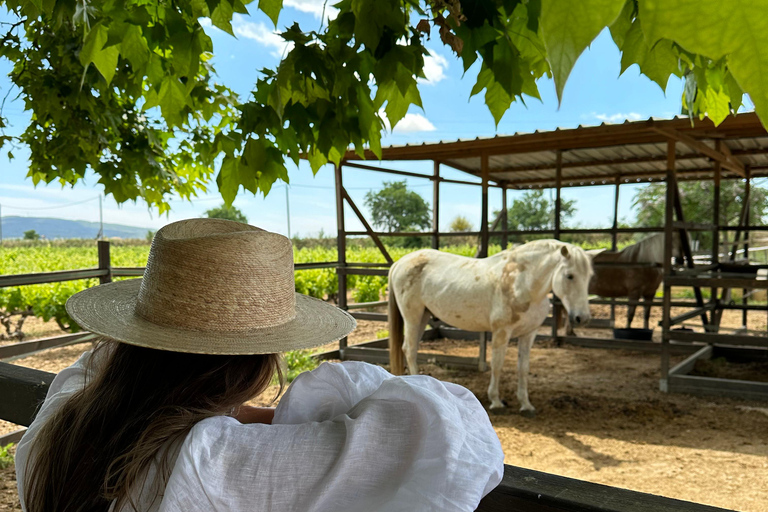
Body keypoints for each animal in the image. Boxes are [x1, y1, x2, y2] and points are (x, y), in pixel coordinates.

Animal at [387, 240, 595, 416]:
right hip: (412, 317)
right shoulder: (501, 332)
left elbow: (523, 368)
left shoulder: (529, 334)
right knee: (410, 349)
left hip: (423, 315)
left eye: (589, 277)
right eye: (569, 276)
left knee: (410, 348)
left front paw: (525, 404)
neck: (520, 282)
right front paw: (495, 401)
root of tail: (399, 264)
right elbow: (497, 364)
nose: (582, 318)